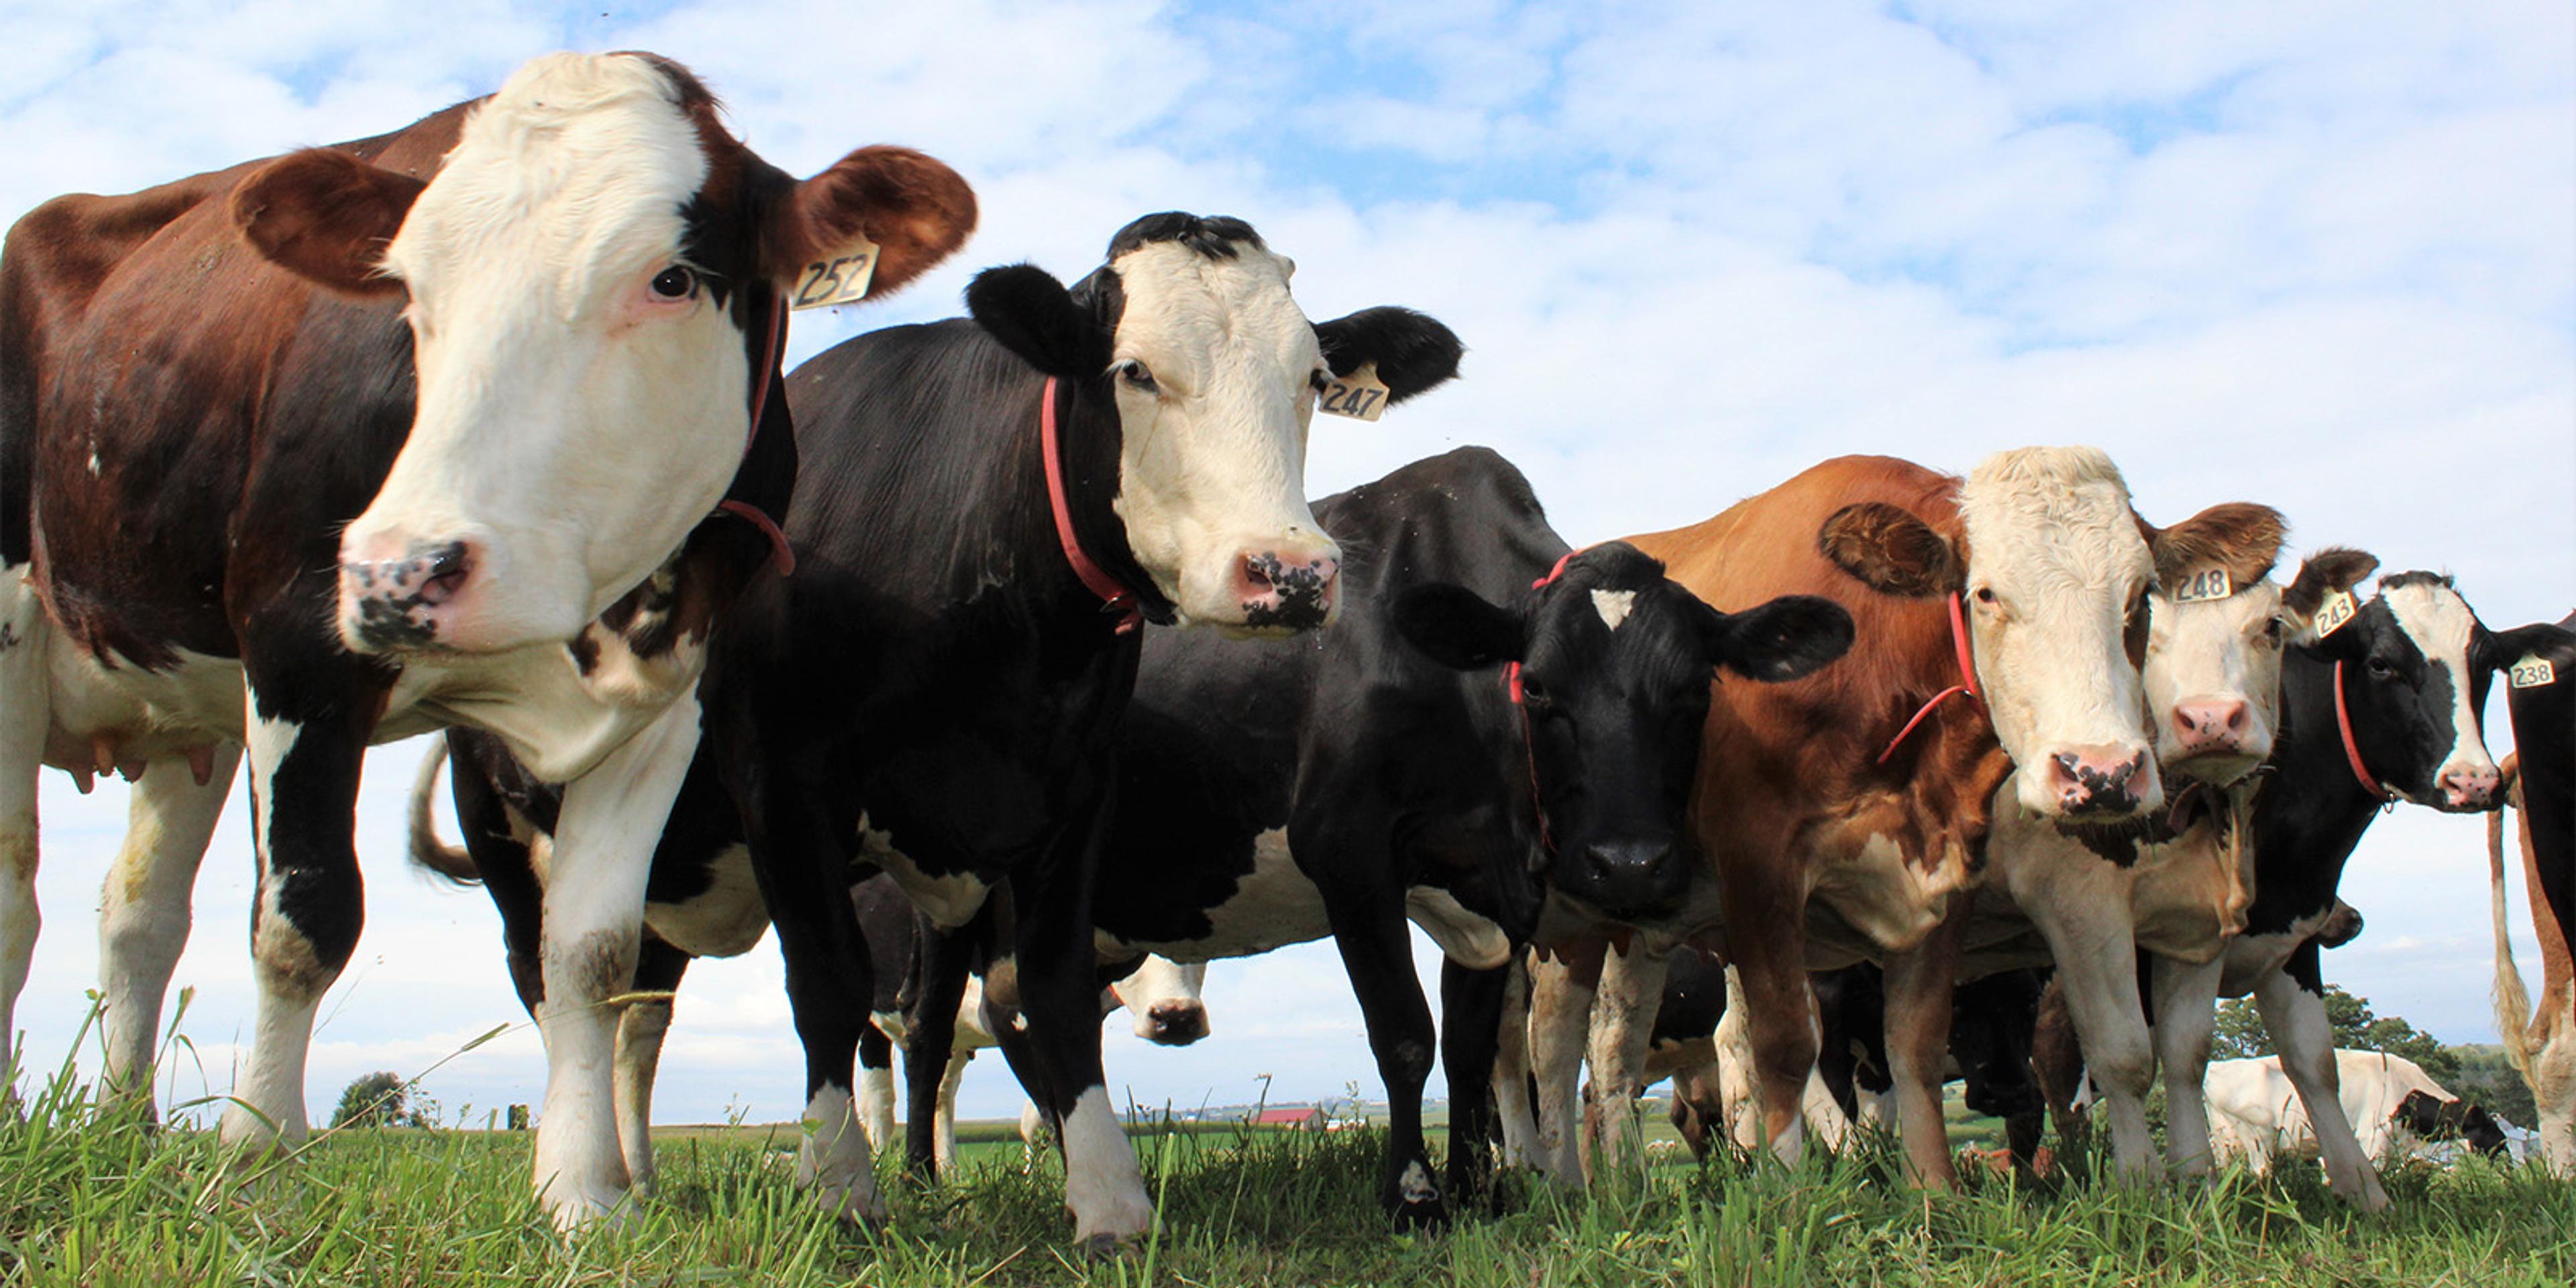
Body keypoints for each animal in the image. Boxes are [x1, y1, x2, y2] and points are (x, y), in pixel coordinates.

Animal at [0, 55, 973, 1231]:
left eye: (671, 279)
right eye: (409, 289)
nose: (397, 572)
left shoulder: (665, 702)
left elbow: (592, 956)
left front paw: (586, 1196)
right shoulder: (296, 647)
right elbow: (304, 920)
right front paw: (258, 1168)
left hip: (187, 714)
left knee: (139, 916)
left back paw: (122, 1133)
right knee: (16, 904)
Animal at [2205, 1051, 2504, 1175]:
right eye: (2498, 1141)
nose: (2507, 1170)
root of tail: (2216, 1067)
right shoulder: (2374, 1138)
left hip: (2224, 1142)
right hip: (2258, 1138)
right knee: (2261, 1173)